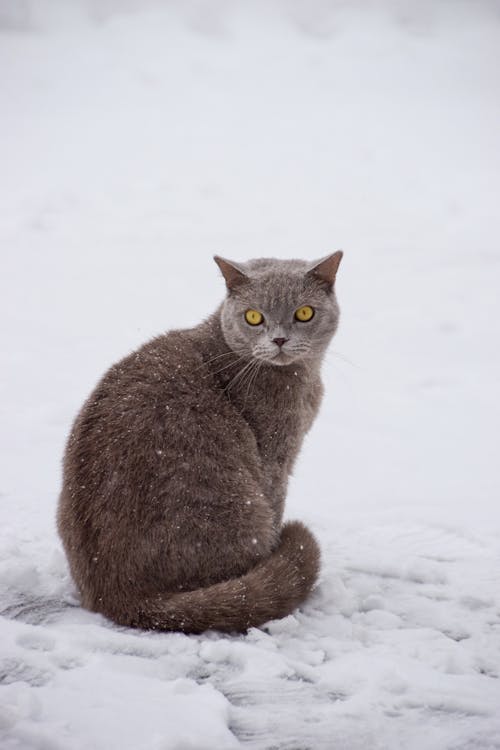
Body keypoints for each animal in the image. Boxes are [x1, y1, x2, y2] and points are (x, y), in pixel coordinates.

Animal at [56, 253, 342, 636]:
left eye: (304, 313)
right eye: (254, 317)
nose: (279, 339)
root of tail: (118, 596)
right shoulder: (275, 458)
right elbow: (277, 504)